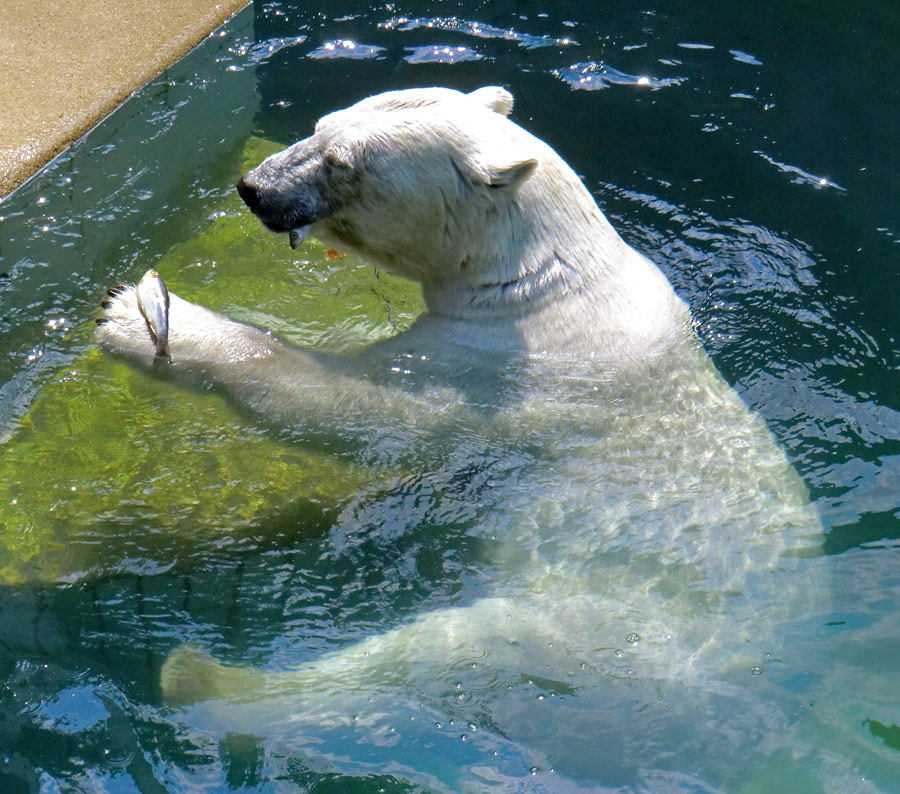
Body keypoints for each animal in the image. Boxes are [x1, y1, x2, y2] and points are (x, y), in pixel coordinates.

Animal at [96, 85, 828, 784]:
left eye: (343, 163)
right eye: (321, 124)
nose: (255, 187)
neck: (547, 277)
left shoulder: (501, 370)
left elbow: (346, 407)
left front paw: (143, 321)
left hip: (606, 640)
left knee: (438, 652)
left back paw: (206, 682)